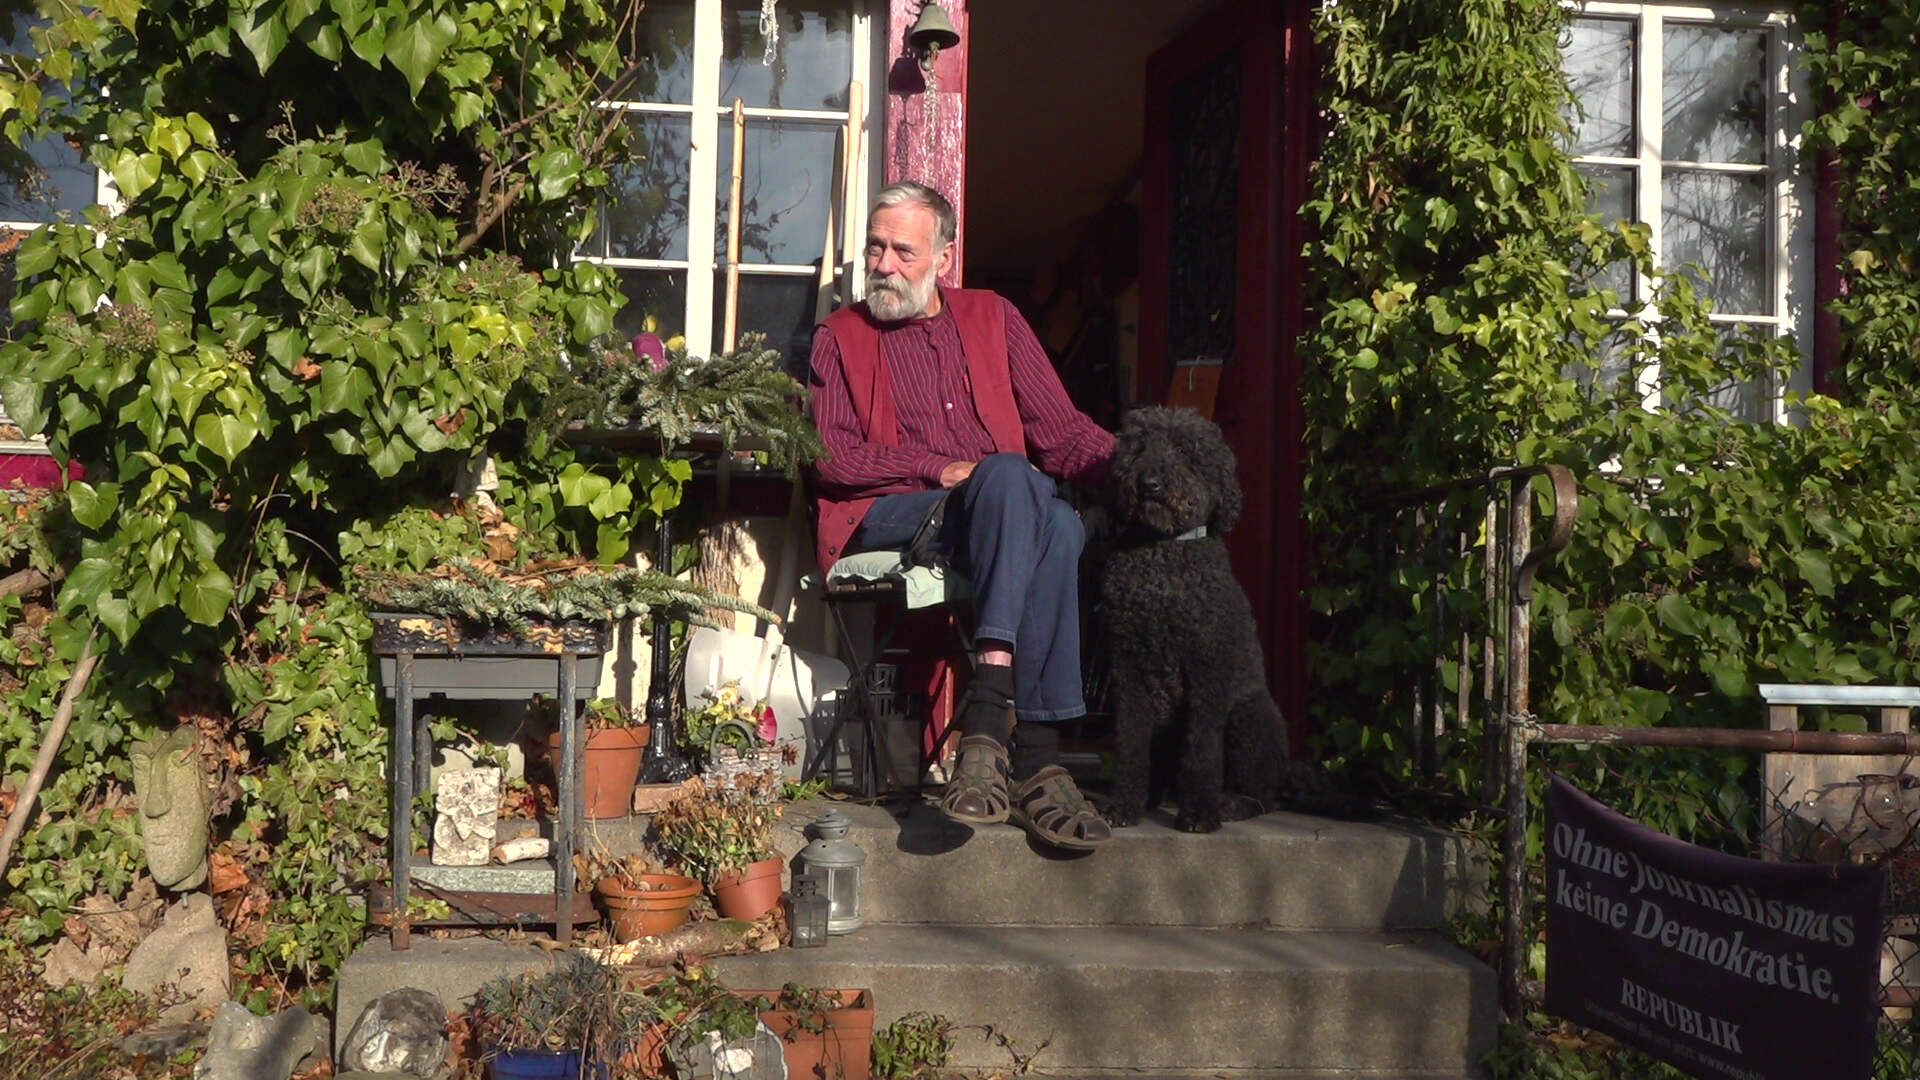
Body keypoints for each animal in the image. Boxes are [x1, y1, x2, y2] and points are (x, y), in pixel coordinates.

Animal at [1113, 405, 1336, 834]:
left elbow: (1201, 752)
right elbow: (1128, 743)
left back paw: (1230, 804)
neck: (1166, 553)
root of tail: (1286, 770)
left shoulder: (1208, 672)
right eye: (1140, 446)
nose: (1149, 483)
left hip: (1248, 720)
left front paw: (1200, 814)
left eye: (1184, 450)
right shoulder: (1129, 673)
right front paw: (1122, 806)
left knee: (1263, 796)